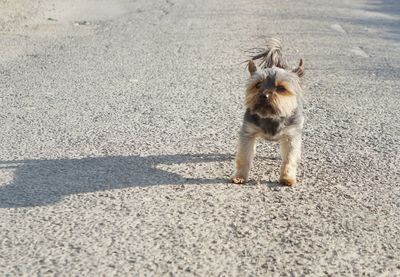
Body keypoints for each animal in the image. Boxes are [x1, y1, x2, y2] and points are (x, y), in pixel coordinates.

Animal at [230, 38, 304, 185]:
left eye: (281, 88)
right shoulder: (248, 133)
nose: (264, 95)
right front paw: (240, 177)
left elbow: (289, 159)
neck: (271, 116)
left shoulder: (291, 135)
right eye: (258, 85)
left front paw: (287, 178)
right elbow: (244, 156)